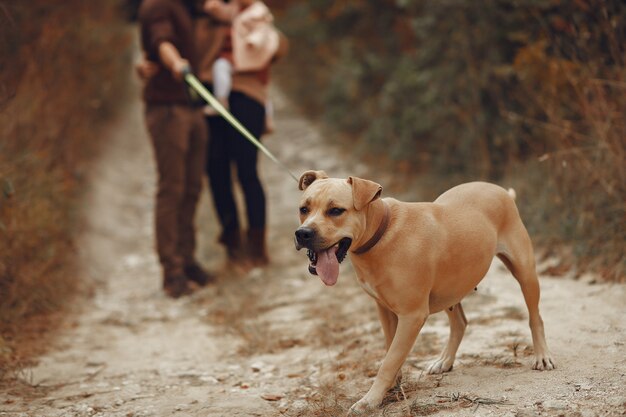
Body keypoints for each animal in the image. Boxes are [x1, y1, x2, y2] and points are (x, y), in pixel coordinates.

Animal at [292, 170, 552, 412]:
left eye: (336, 210)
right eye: (304, 209)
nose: (303, 233)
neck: (382, 233)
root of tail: (501, 191)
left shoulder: (411, 316)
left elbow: (389, 360)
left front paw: (370, 400)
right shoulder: (386, 310)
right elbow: (391, 352)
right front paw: (391, 388)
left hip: (525, 273)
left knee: (535, 317)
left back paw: (542, 356)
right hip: (450, 287)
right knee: (460, 322)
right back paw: (445, 361)